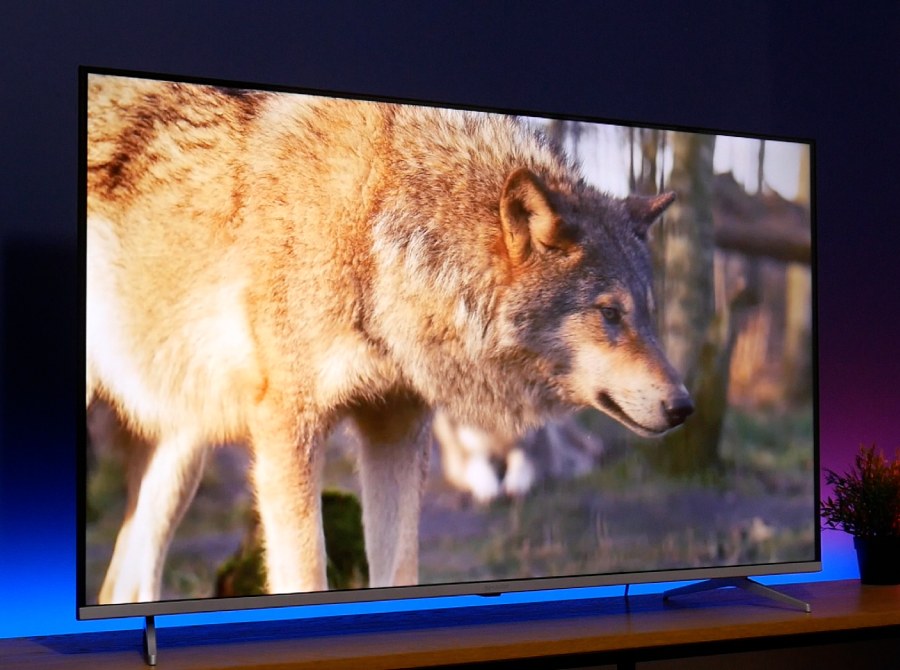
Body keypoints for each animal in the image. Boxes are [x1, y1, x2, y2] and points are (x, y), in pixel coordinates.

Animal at [86, 74, 693, 604]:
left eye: (646, 314)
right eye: (609, 313)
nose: (684, 405)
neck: (378, 229)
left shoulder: (396, 428)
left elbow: (400, 568)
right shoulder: (288, 430)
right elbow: (304, 576)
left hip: (183, 450)